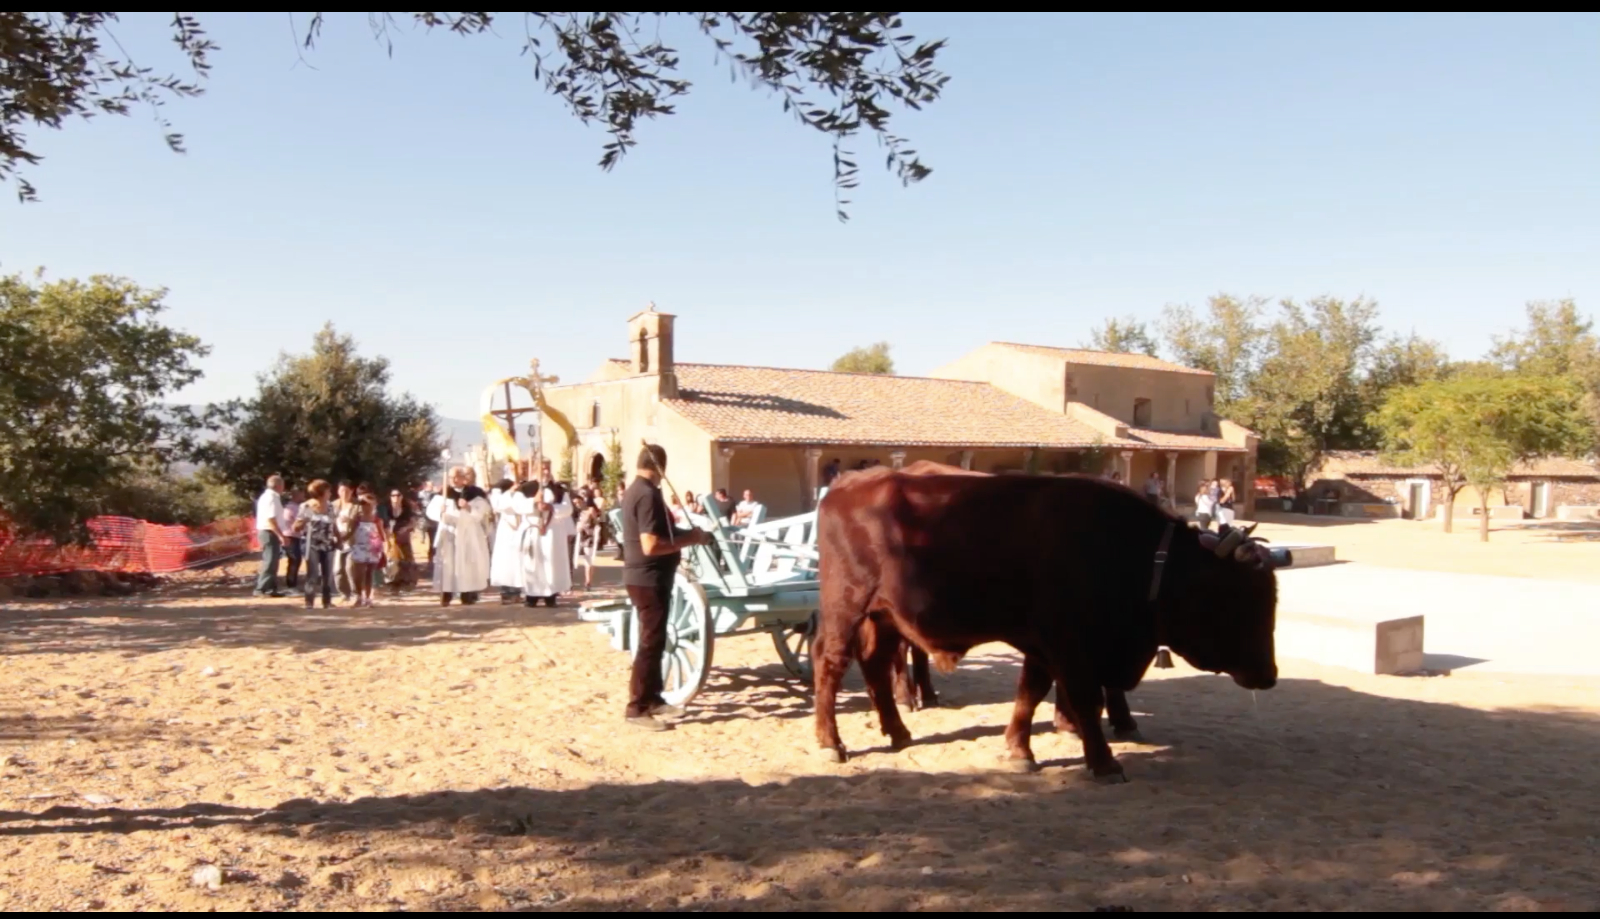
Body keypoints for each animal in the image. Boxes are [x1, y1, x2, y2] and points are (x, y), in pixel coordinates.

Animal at [814, 468, 1285, 782]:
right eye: (1237, 600)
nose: (1268, 675)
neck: (1146, 558)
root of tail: (847, 484)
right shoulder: (1071, 647)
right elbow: (1084, 700)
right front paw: (1103, 760)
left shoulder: (1042, 645)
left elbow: (1031, 693)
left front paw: (1019, 749)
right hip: (846, 607)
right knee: (830, 664)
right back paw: (832, 743)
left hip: (884, 617)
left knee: (875, 666)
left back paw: (898, 731)